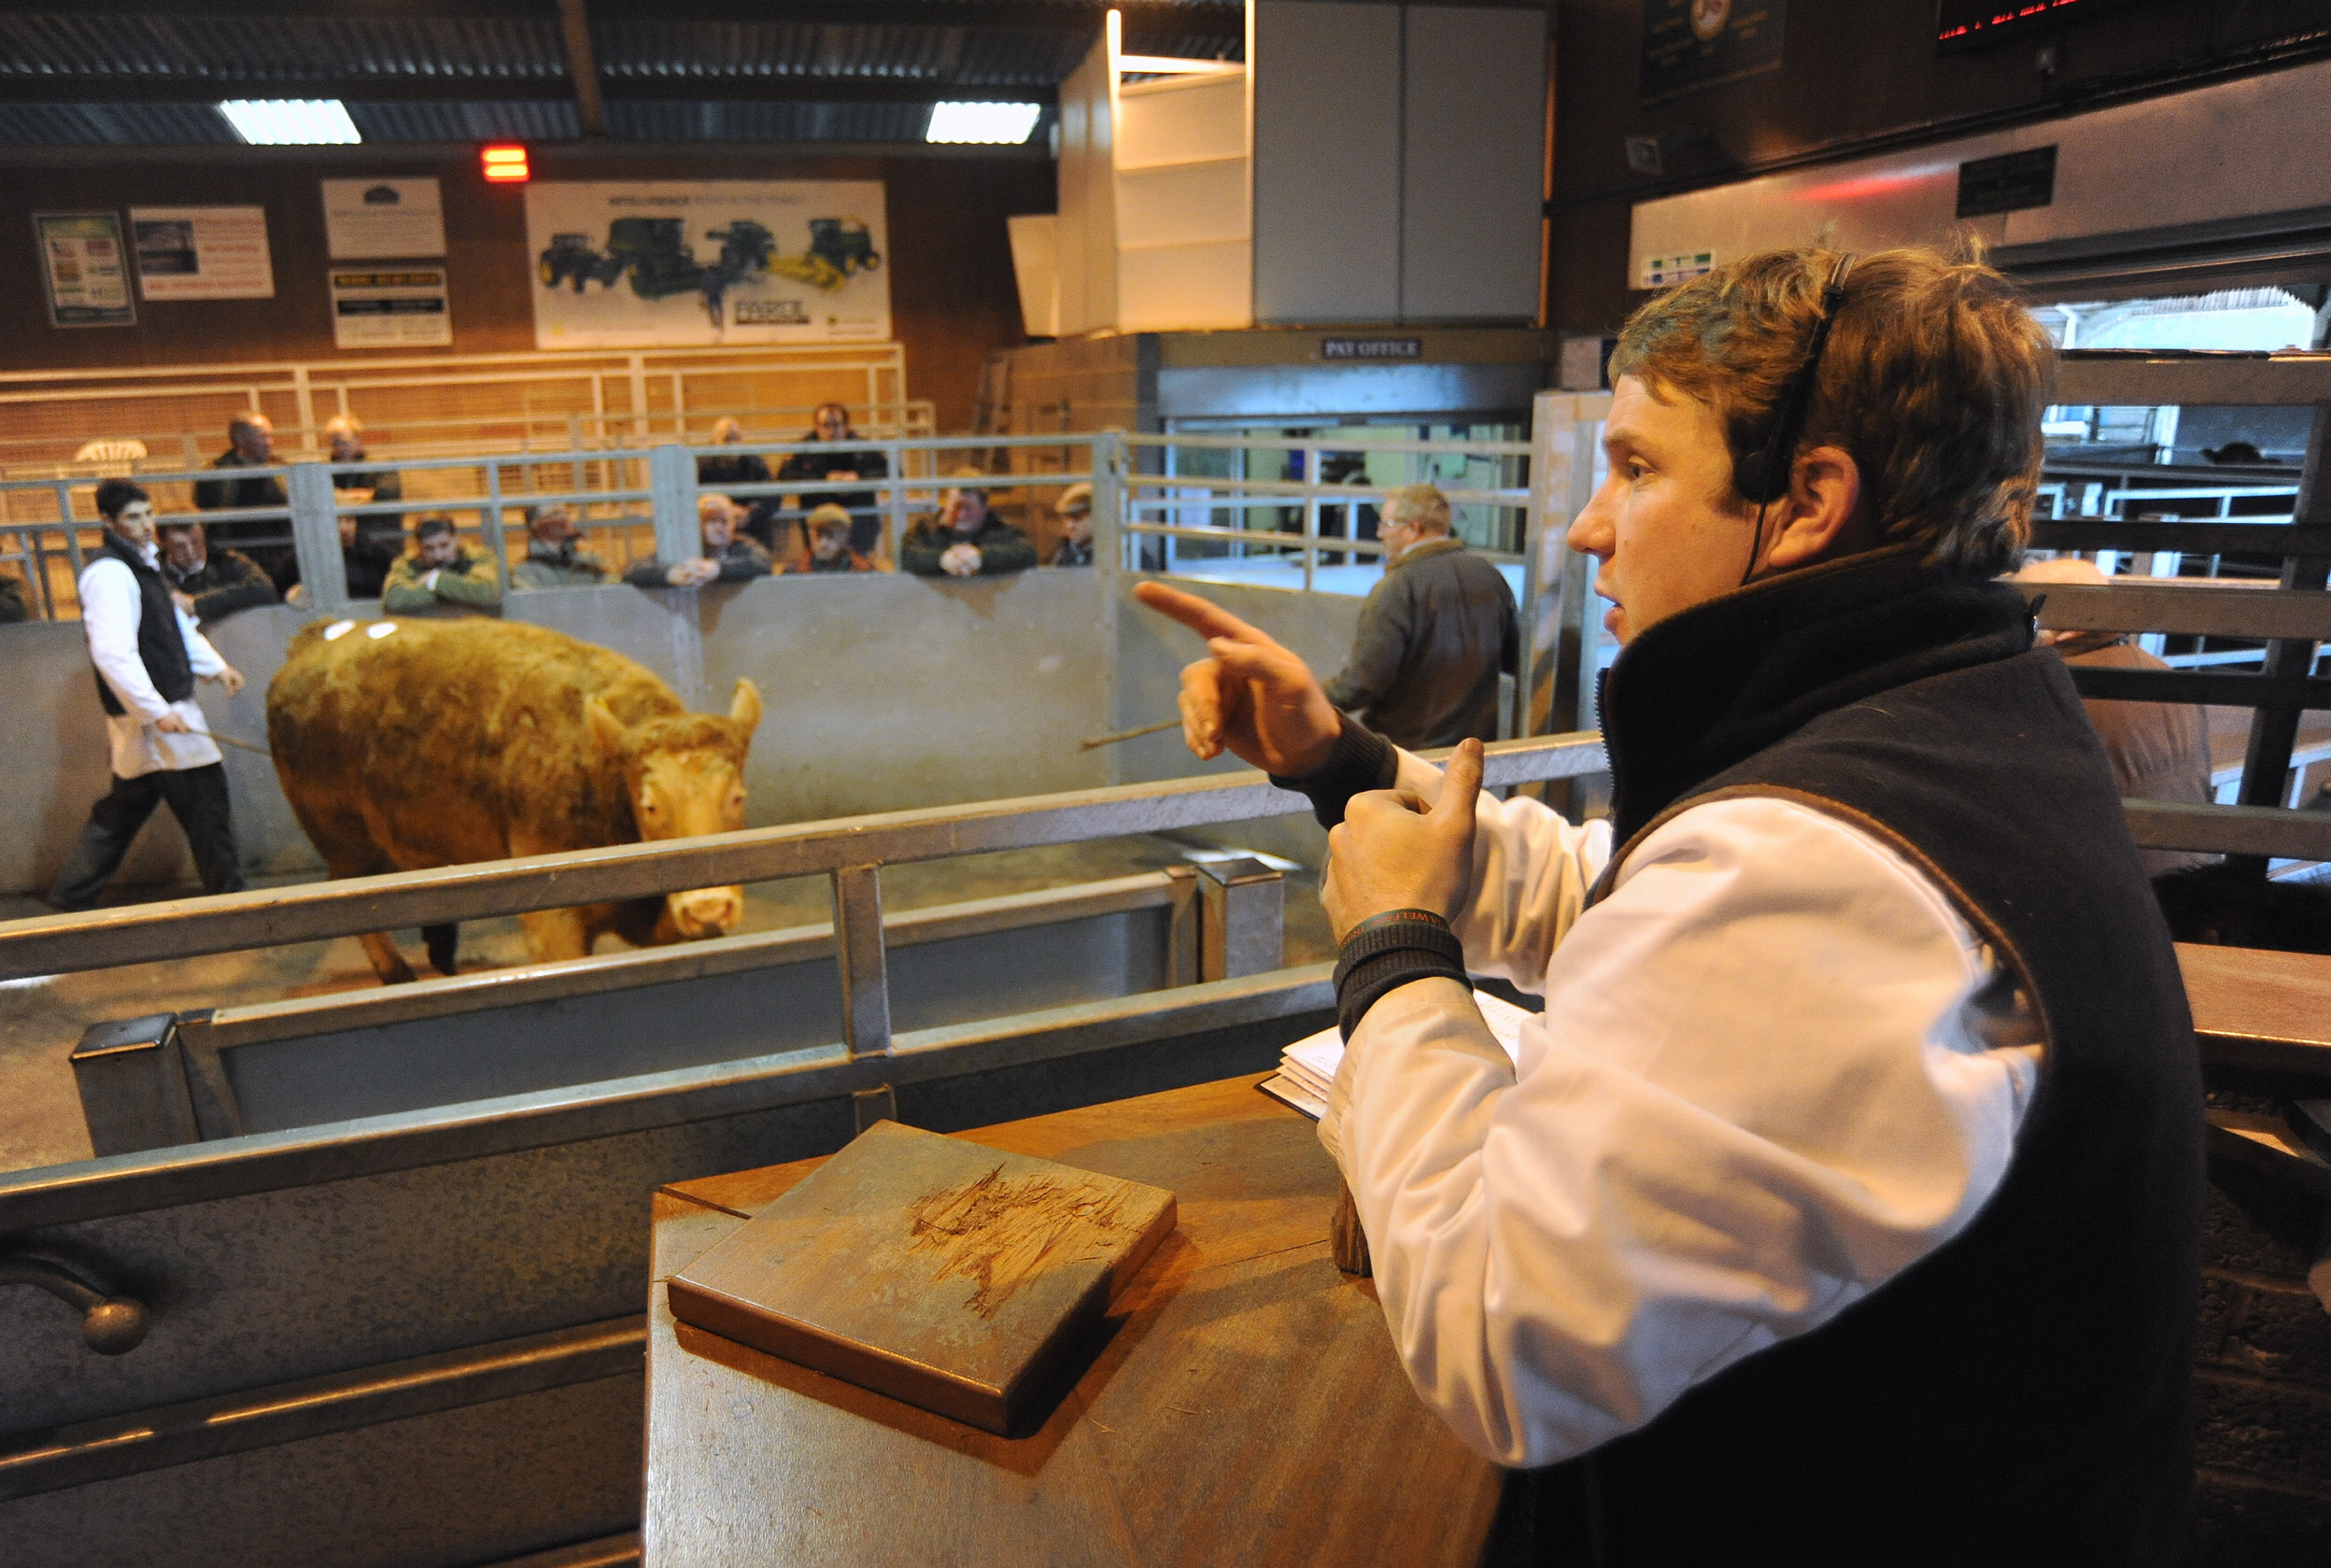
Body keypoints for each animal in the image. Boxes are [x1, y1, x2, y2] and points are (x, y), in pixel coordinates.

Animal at [269, 610, 764, 978]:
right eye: (651, 805)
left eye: (737, 797)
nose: (709, 907)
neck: (600, 771)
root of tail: (312, 644)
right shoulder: (554, 928)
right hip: (348, 847)